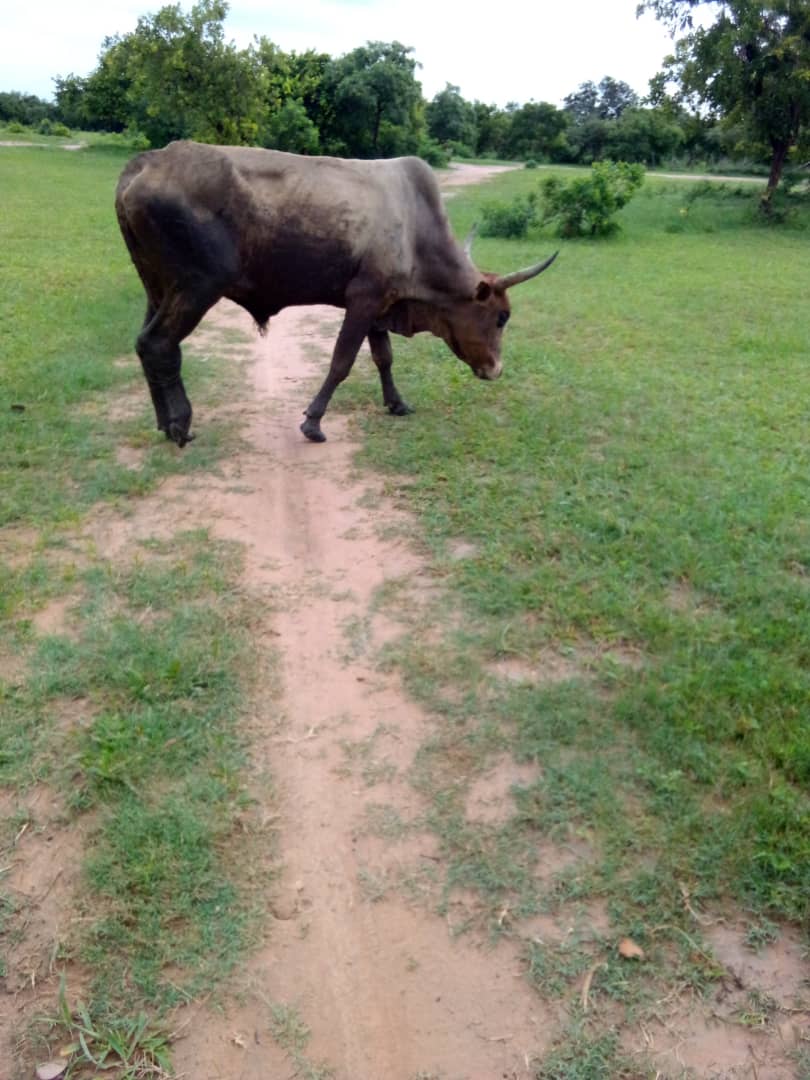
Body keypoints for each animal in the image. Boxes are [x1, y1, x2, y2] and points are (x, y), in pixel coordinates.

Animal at [115, 141, 557, 446]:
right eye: (501, 317)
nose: (496, 369)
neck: (416, 230)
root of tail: (149, 161)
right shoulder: (363, 299)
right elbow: (341, 362)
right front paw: (313, 421)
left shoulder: (381, 304)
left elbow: (383, 358)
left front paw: (396, 403)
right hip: (197, 286)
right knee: (160, 344)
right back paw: (180, 425)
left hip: (158, 287)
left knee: (144, 344)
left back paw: (163, 421)